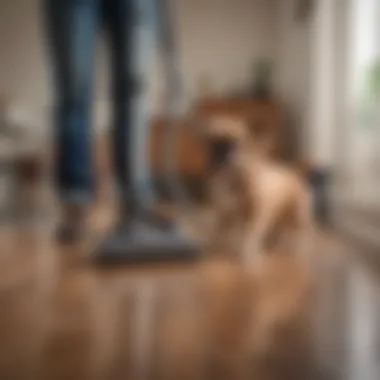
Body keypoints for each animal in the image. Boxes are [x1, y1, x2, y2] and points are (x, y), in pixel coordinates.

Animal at [202, 114, 312, 274]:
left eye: (233, 140)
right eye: (212, 141)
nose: (219, 156)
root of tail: (295, 173)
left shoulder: (254, 217)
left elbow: (249, 237)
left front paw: (249, 258)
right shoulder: (225, 213)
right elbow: (220, 232)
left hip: (298, 214)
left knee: (302, 231)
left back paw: (299, 249)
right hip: (283, 215)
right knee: (285, 230)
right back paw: (280, 245)